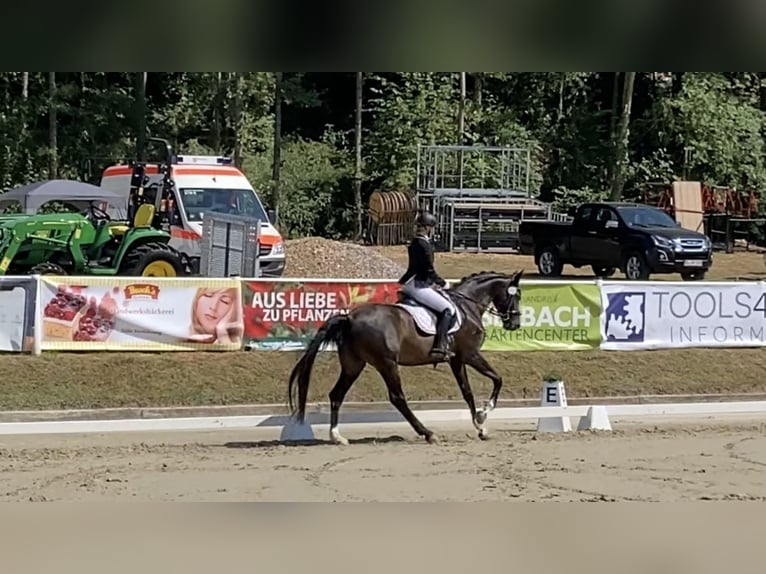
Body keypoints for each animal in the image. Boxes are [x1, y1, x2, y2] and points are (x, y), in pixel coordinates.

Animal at [288, 270, 528, 446]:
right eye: (516, 295)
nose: (514, 324)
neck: (467, 306)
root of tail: (349, 318)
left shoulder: (457, 360)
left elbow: (467, 392)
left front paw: (480, 427)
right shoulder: (469, 355)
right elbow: (497, 379)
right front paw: (483, 414)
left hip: (353, 365)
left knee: (336, 394)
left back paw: (337, 436)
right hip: (387, 363)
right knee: (397, 398)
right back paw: (428, 433)